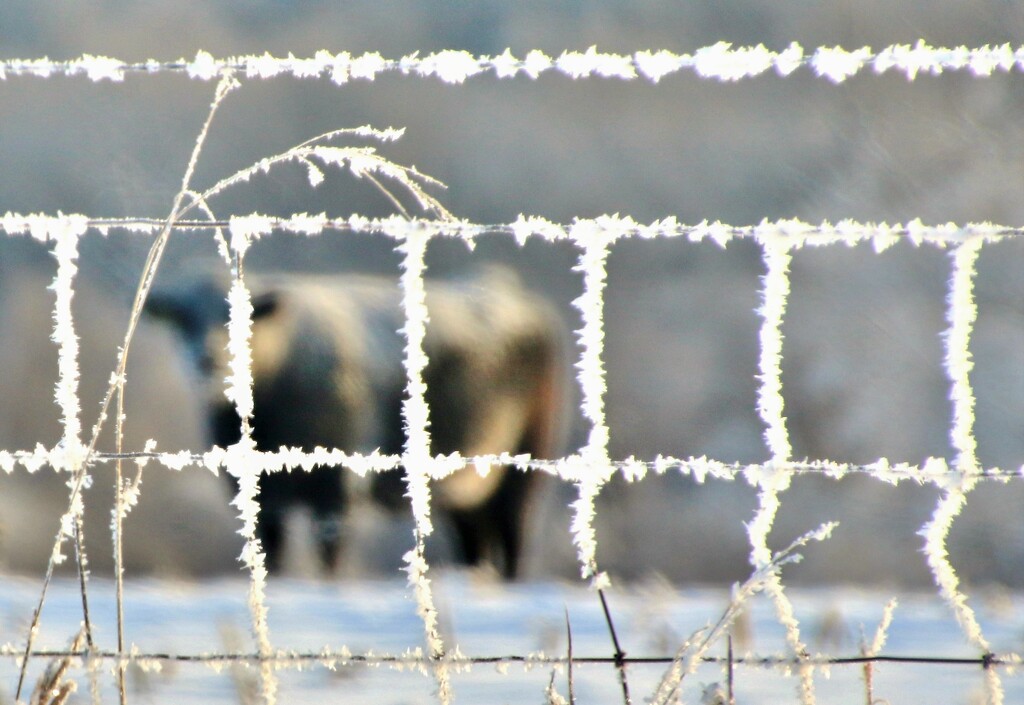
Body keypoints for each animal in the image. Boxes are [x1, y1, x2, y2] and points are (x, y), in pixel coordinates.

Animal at [145, 264, 573, 577]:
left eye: (240, 317)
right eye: (183, 320)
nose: (208, 359)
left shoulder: (337, 487)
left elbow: (330, 554)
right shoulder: (261, 496)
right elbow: (271, 556)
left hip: (522, 469)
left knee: (513, 538)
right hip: (467, 489)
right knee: (476, 546)